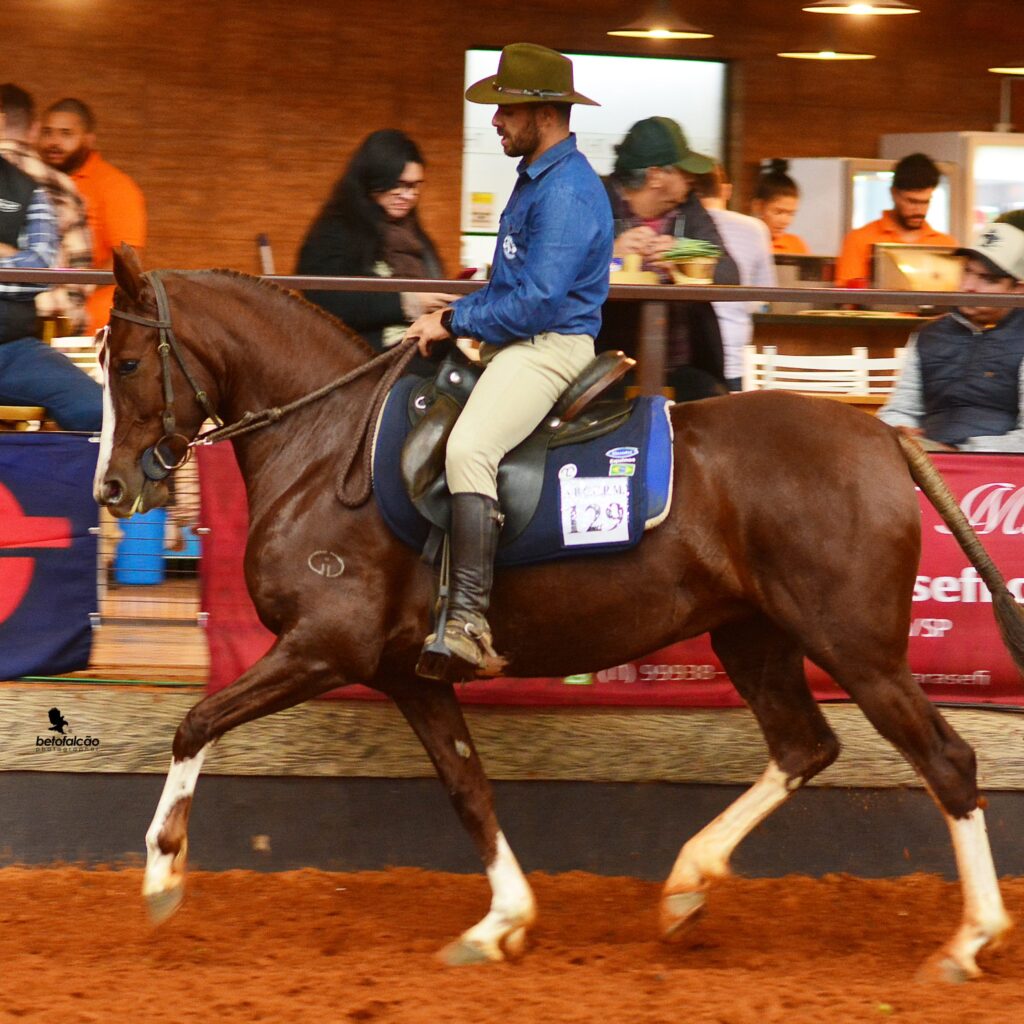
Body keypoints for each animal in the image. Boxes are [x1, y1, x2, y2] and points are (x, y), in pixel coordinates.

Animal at [94, 245, 1015, 974]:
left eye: (129, 364)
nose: (112, 488)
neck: (325, 446)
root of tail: (882, 436)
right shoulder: (409, 674)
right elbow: (467, 787)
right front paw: (500, 922)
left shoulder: (326, 646)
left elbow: (196, 722)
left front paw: (161, 874)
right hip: (754, 636)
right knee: (803, 745)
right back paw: (686, 887)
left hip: (857, 648)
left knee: (946, 762)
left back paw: (970, 940)